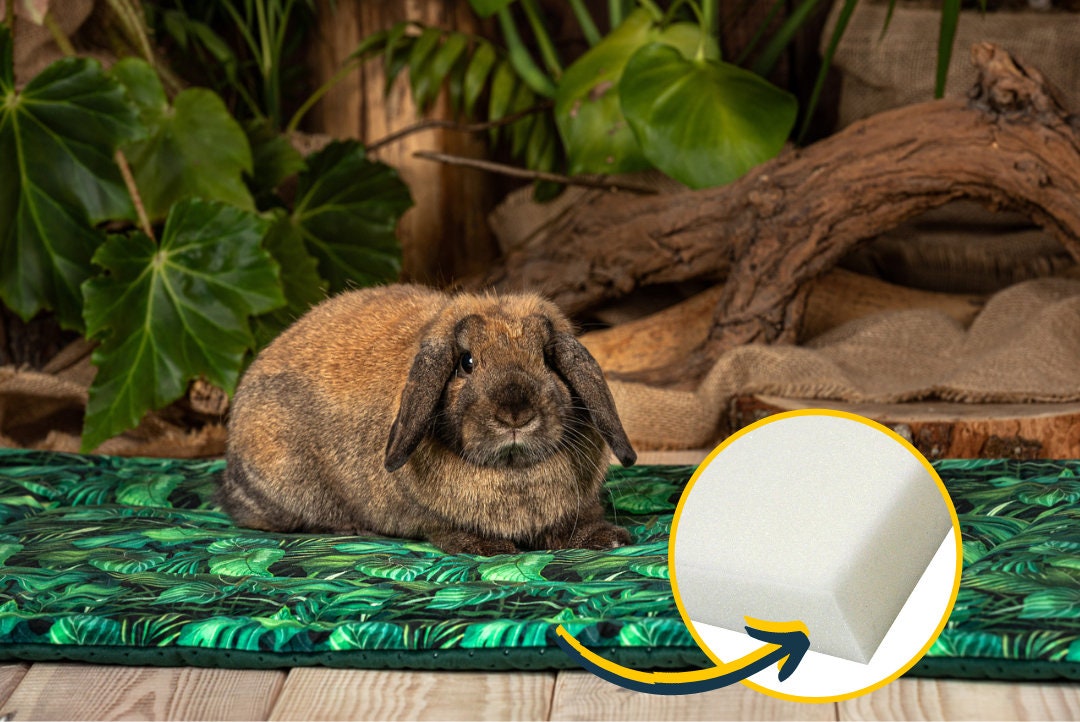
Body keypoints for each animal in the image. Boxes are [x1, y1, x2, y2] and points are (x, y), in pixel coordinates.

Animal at [218, 283, 637, 556]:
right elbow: (444, 529)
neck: (513, 472)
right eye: (466, 362)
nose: (515, 414)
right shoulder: (432, 518)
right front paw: (487, 547)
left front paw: (608, 537)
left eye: (548, 360)